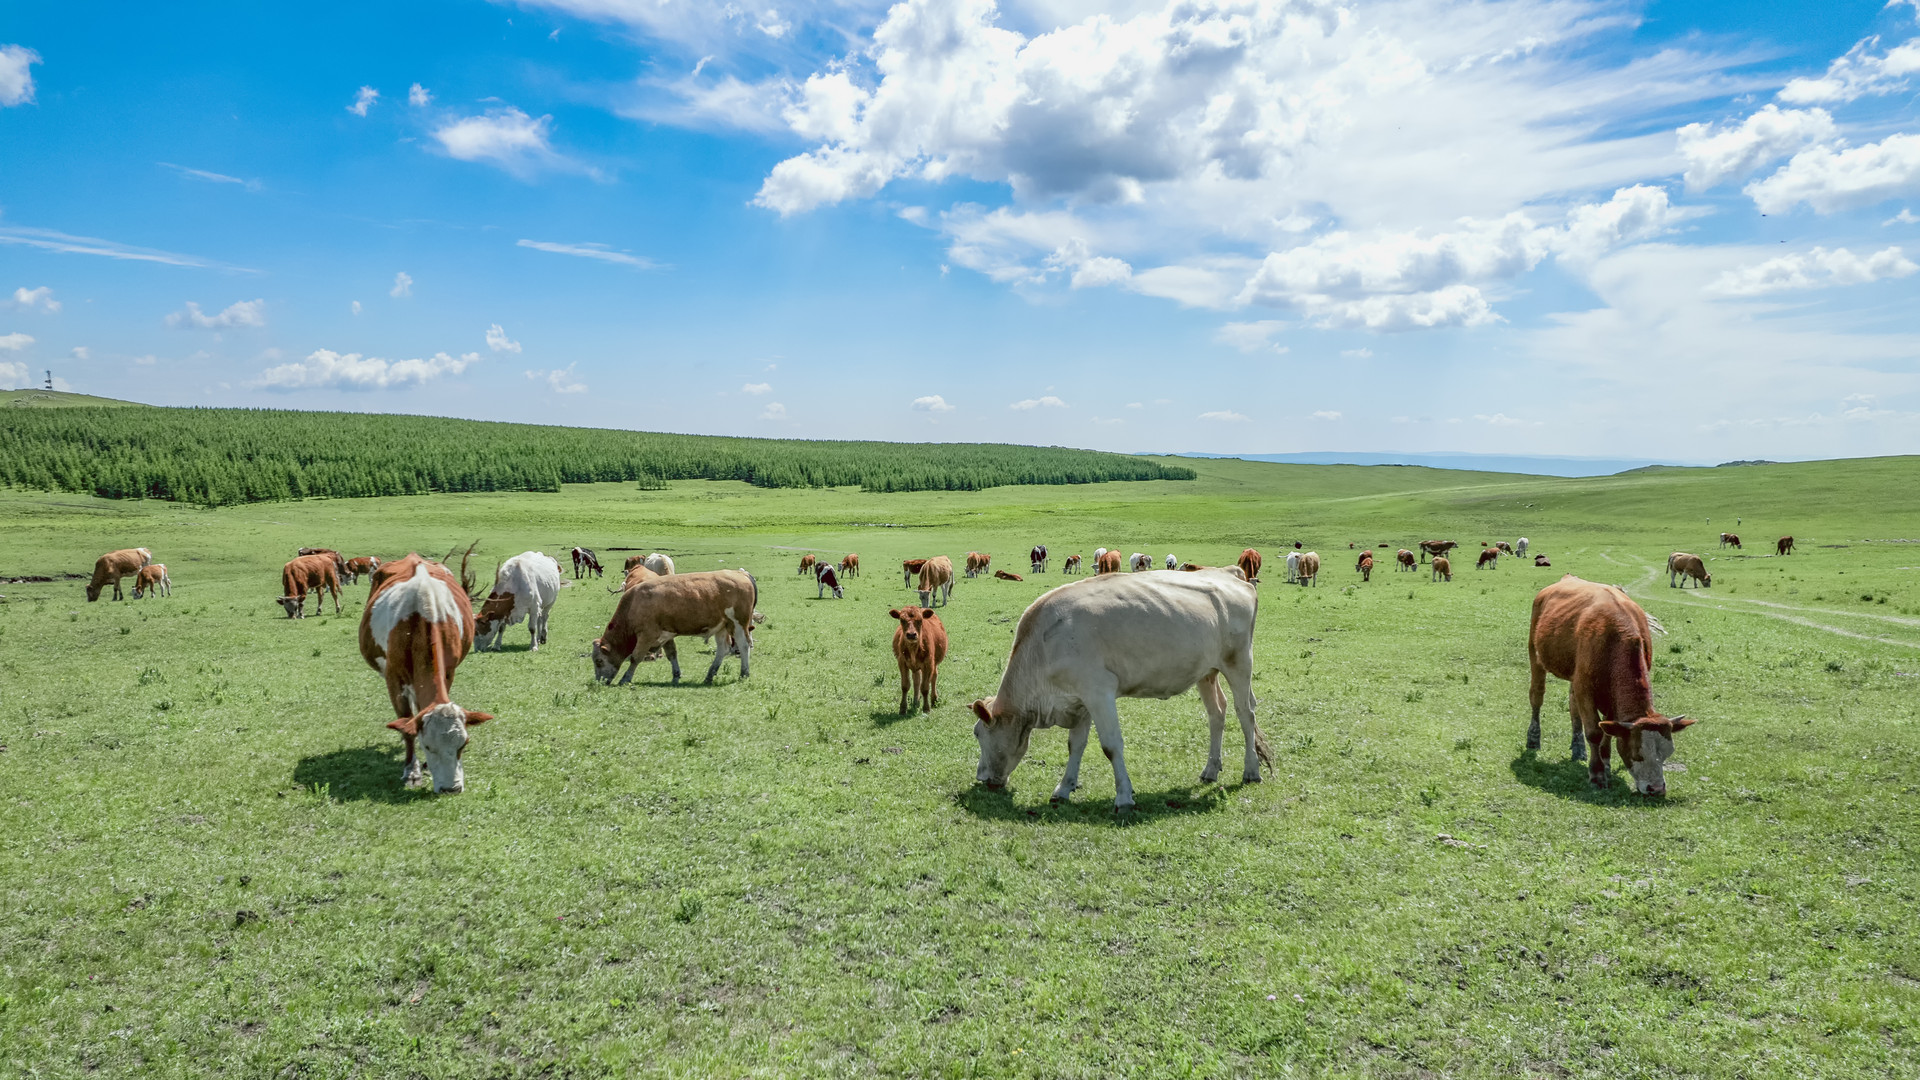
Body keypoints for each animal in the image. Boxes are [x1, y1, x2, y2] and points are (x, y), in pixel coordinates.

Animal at [360, 549, 491, 787]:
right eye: (428, 746)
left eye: (463, 744)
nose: (451, 789)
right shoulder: (394, 679)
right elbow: (407, 727)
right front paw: (411, 770)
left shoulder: (449, 671)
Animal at [591, 564, 756, 680]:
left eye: (599, 661)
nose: (600, 681)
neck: (634, 603)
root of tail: (741, 573)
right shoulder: (666, 634)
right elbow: (672, 654)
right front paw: (676, 675)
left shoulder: (647, 635)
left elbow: (635, 657)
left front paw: (626, 678)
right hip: (722, 626)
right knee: (723, 649)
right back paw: (710, 675)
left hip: (738, 624)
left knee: (744, 645)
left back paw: (744, 673)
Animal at [967, 568, 1267, 803]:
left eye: (978, 734)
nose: (981, 777)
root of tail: (1228, 572)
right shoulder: (1079, 699)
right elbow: (1075, 745)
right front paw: (1064, 788)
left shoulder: (1099, 692)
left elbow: (1111, 746)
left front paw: (1123, 796)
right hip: (1207, 671)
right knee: (1217, 713)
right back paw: (1210, 770)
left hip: (1239, 662)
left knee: (1246, 713)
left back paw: (1251, 771)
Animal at [1528, 572, 1697, 791]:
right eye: (1637, 753)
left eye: (1668, 753)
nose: (1657, 789)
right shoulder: (1585, 689)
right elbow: (1594, 731)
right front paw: (1597, 774)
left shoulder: (1607, 695)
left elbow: (1607, 729)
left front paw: (1606, 764)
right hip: (1535, 655)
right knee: (1536, 696)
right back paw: (1533, 738)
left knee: (1573, 707)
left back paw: (1578, 748)